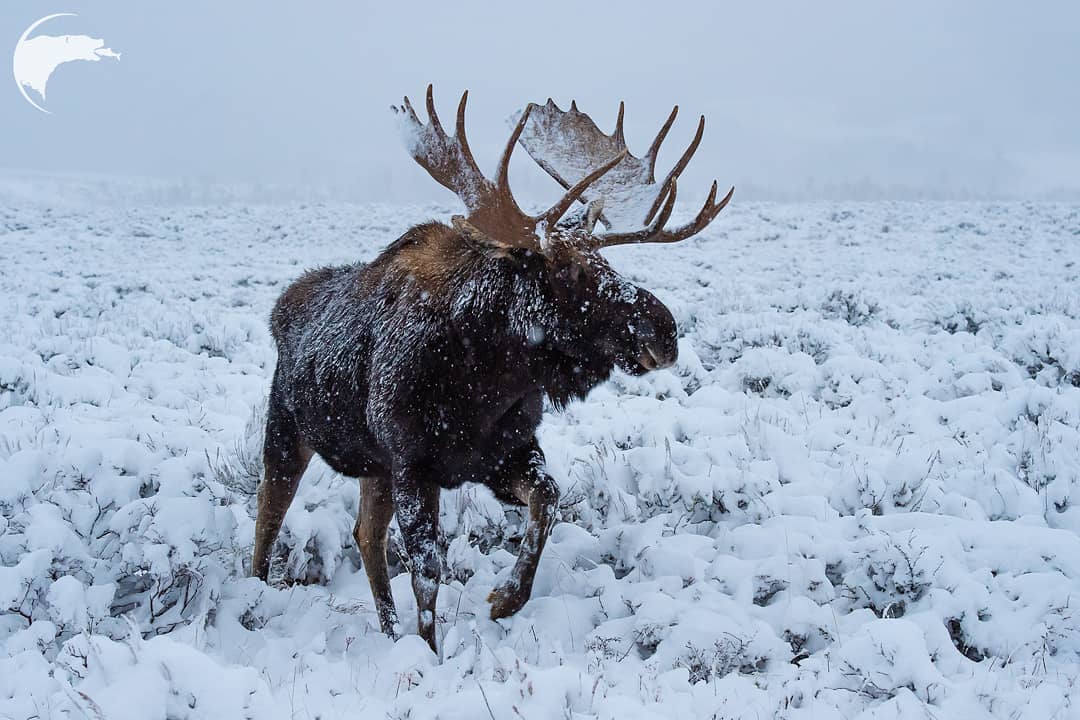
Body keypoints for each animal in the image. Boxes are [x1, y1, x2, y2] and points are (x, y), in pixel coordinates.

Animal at [248, 85, 730, 651]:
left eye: (608, 263)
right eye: (568, 269)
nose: (665, 330)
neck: (483, 382)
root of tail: (282, 306)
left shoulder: (504, 452)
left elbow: (548, 497)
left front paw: (505, 599)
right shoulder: (413, 463)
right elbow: (427, 571)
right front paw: (429, 653)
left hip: (373, 467)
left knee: (365, 535)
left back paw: (389, 630)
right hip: (287, 431)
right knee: (269, 516)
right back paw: (254, 602)